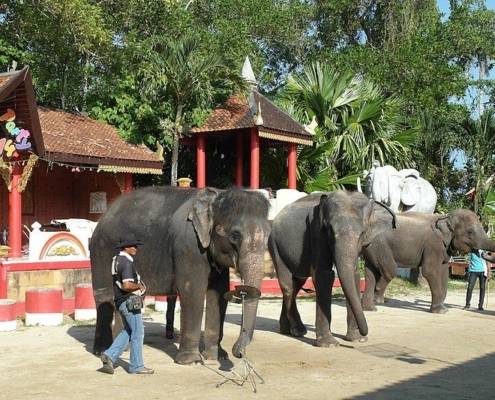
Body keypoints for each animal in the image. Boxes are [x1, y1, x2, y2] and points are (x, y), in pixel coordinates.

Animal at [91, 186, 274, 364]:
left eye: (268, 234)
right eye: (235, 235)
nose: (240, 353)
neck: (217, 195)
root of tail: (105, 213)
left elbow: (219, 293)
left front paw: (216, 357)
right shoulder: (189, 244)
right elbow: (192, 291)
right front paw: (191, 361)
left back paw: (123, 349)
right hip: (101, 249)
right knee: (105, 296)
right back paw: (101, 351)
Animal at [270, 192, 398, 346]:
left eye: (362, 233)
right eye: (329, 230)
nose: (365, 335)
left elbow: (354, 274)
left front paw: (356, 339)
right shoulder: (316, 232)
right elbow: (324, 275)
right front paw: (329, 344)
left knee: (297, 283)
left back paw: (286, 330)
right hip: (275, 246)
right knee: (288, 286)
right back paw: (298, 331)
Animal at [360, 208, 495, 314]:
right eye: (470, 232)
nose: (483, 253)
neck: (445, 217)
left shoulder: (443, 248)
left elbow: (444, 272)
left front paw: (443, 309)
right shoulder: (433, 244)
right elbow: (430, 271)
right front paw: (440, 311)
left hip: (372, 247)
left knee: (370, 272)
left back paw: (370, 308)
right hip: (380, 245)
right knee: (390, 270)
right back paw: (378, 299)